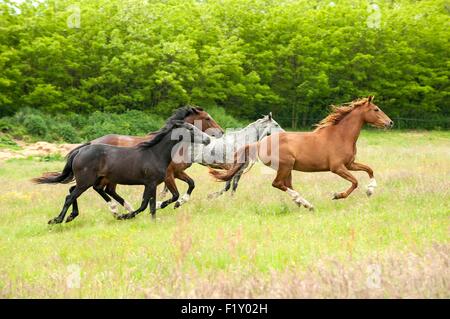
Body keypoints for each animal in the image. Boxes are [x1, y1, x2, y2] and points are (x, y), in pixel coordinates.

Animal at [33, 120, 211, 225]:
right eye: (191, 129)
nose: (208, 139)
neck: (155, 154)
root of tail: (80, 150)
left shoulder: (152, 184)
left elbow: (151, 204)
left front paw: (152, 220)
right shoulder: (151, 183)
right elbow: (145, 204)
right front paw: (126, 216)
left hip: (89, 181)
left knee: (73, 192)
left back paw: (71, 216)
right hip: (86, 181)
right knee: (71, 196)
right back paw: (57, 220)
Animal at [67, 106, 223, 216]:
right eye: (207, 118)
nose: (221, 132)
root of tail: (90, 143)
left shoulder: (177, 172)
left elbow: (191, 184)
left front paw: (179, 203)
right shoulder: (168, 175)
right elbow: (174, 194)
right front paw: (161, 204)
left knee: (100, 189)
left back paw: (123, 209)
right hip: (105, 177)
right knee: (99, 189)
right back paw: (118, 209)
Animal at [209, 96, 392, 210]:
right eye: (376, 109)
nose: (390, 122)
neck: (340, 136)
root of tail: (259, 142)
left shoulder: (350, 164)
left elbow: (369, 169)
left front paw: (370, 190)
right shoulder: (337, 167)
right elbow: (354, 182)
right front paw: (337, 195)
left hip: (288, 168)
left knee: (286, 185)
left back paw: (303, 203)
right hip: (285, 165)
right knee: (278, 184)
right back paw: (302, 201)